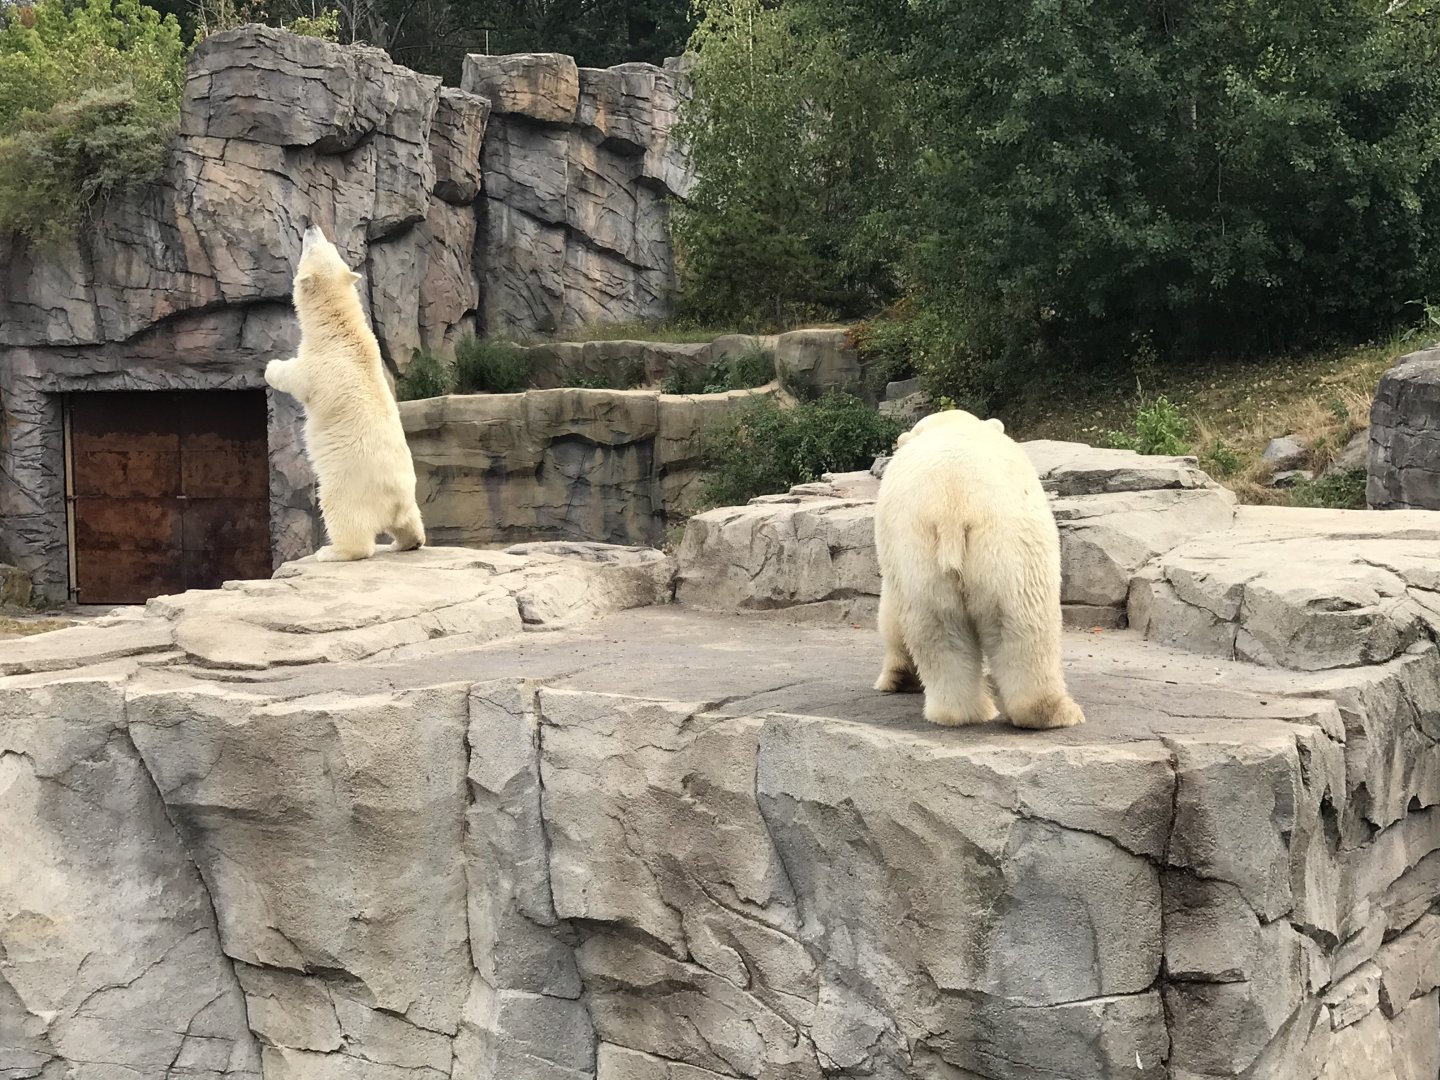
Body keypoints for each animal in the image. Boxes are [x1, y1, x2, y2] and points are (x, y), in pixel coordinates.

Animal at [264, 225, 426, 562]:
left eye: (313, 248)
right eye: (331, 245)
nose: (311, 225)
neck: (339, 329)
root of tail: (394, 500)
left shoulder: (321, 365)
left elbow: (297, 377)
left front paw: (271, 367)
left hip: (349, 486)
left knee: (344, 518)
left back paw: (331, 551)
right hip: (408, 498)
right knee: (411, 522)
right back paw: (406, 542)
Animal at [872, 408, 1084, 730]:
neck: (950, 424)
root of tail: (954, 509)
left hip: (955, 555)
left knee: (957, 627)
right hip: (994, 548)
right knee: (1002, 628)